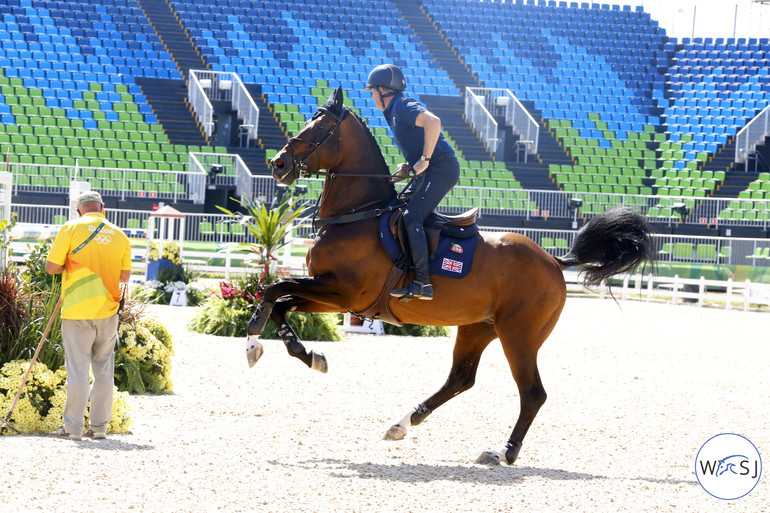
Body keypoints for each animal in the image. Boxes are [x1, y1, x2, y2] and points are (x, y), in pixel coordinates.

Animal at [248, 86, 656, 466]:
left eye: (319, 127)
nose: (278, 164)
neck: (358, 213)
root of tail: (555, 261)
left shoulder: (343, 293)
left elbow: (274, 289)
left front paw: (254, 339)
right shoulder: (331, 295)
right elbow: (280, 302)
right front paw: (304, 354)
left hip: (519, 336)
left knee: (532, 393)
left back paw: (504, 452)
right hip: (478, 327)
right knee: (461, 378)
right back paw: (403, 423)